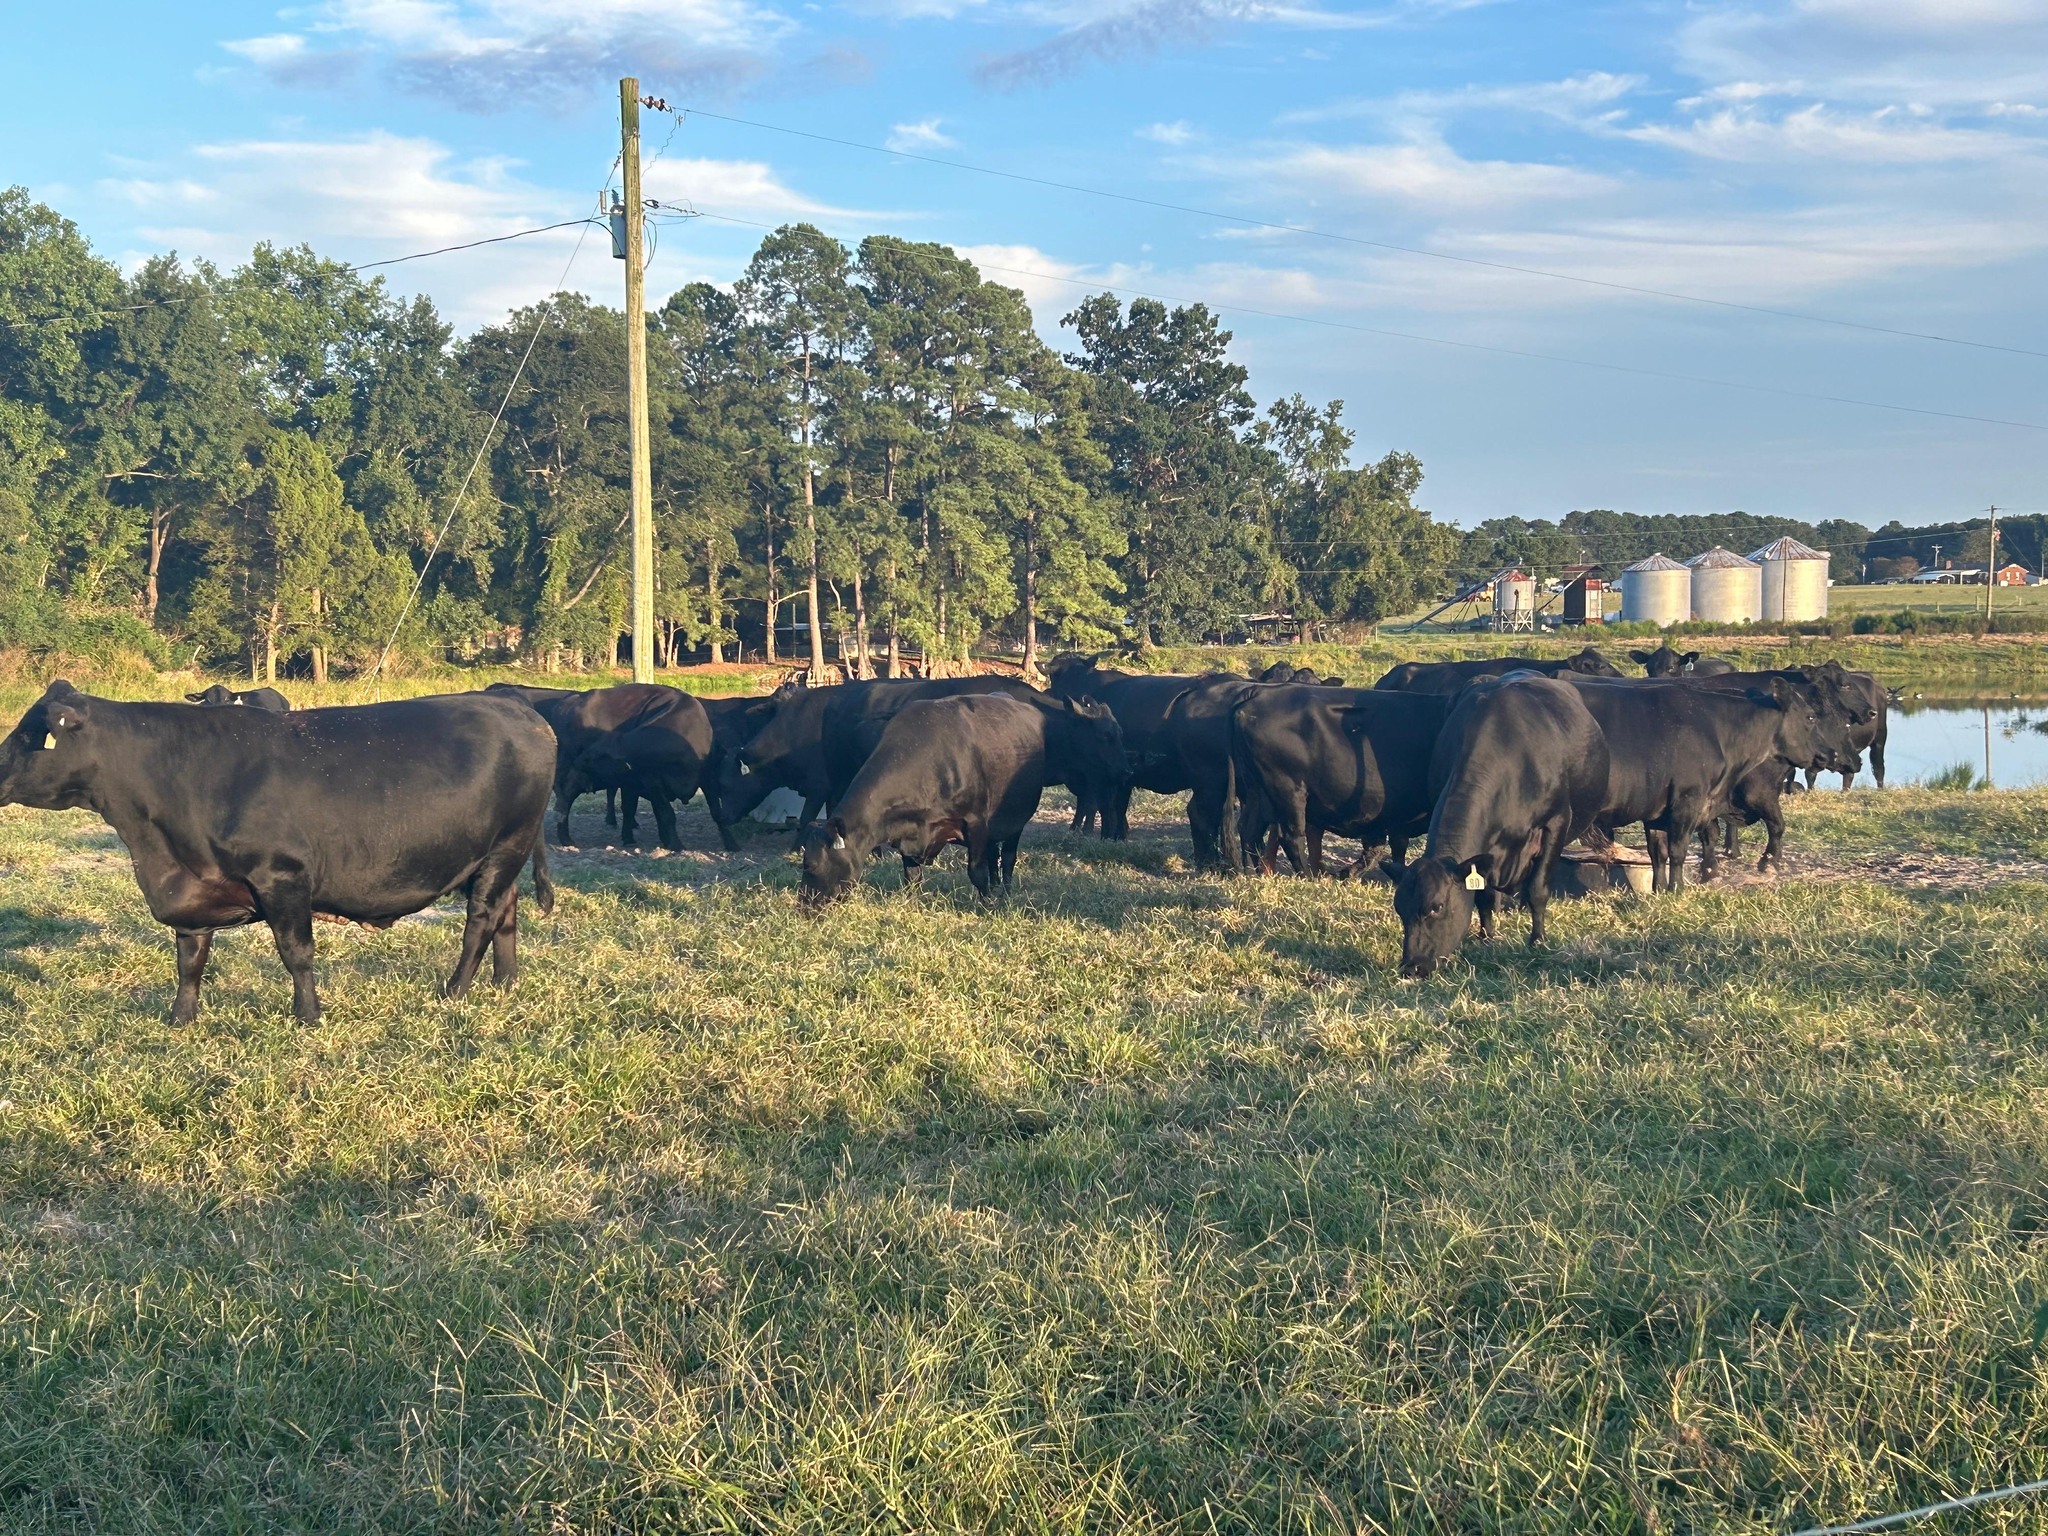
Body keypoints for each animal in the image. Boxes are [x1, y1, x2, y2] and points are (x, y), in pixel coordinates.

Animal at [0, 681, 554, 1024]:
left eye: (36, 735)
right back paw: (505, 983)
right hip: (497, 857)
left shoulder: (283, 877)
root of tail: (513, 704)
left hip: (507, 845)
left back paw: (454, 990)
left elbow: (297, 953)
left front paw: (308, 1016)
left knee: (481, 918)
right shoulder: (194, 888)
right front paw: (181, 1019)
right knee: (506, 910)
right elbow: (189, 960)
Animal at [798, 692, 1122, 906]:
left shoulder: (976, 822)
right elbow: (912, 875)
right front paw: (911, 903)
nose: (804, 907)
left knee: (1008, 858)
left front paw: (987, 904)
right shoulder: (908, 832)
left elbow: (976, 872)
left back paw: (1004, 892)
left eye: (809, 866)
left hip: (1016, 819)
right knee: (995, 855)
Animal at [1218, 686, 1452, 878]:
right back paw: (1309, 877)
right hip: (1288, 790)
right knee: (1290, 835)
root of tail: (1258, 694)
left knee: (1249, 830)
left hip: (1258, 792)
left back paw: (1254, 873)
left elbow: (1383, 849)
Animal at [1389, 676, 1610, 979]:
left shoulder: (1556, 822)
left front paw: (1537, 940)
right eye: (1399, 909)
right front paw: (1487, 938)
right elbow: (1483, 895)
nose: (1412, 967)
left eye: (1436, 907)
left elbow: (1538, 888)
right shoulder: (1486, 850)